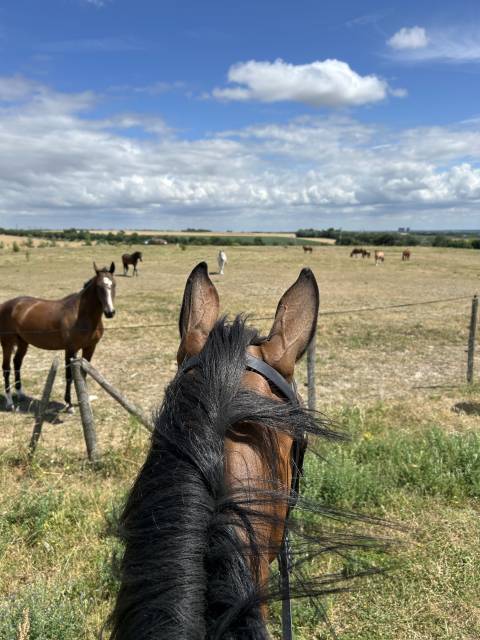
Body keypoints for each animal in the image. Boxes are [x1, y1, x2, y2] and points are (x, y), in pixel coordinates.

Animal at [0, 263, 116, 411]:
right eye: (99, 286)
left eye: (114, 284)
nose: (110, 312)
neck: (81, 315)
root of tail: (5, 305)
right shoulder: (70, 350)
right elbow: (69, 376)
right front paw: (69, 404)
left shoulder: (90, 348)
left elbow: (83, 375)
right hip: (7, 343)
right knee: (6, 368)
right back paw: (10, 402)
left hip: (23, 342)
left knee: (17, 362)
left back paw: (20, 394)